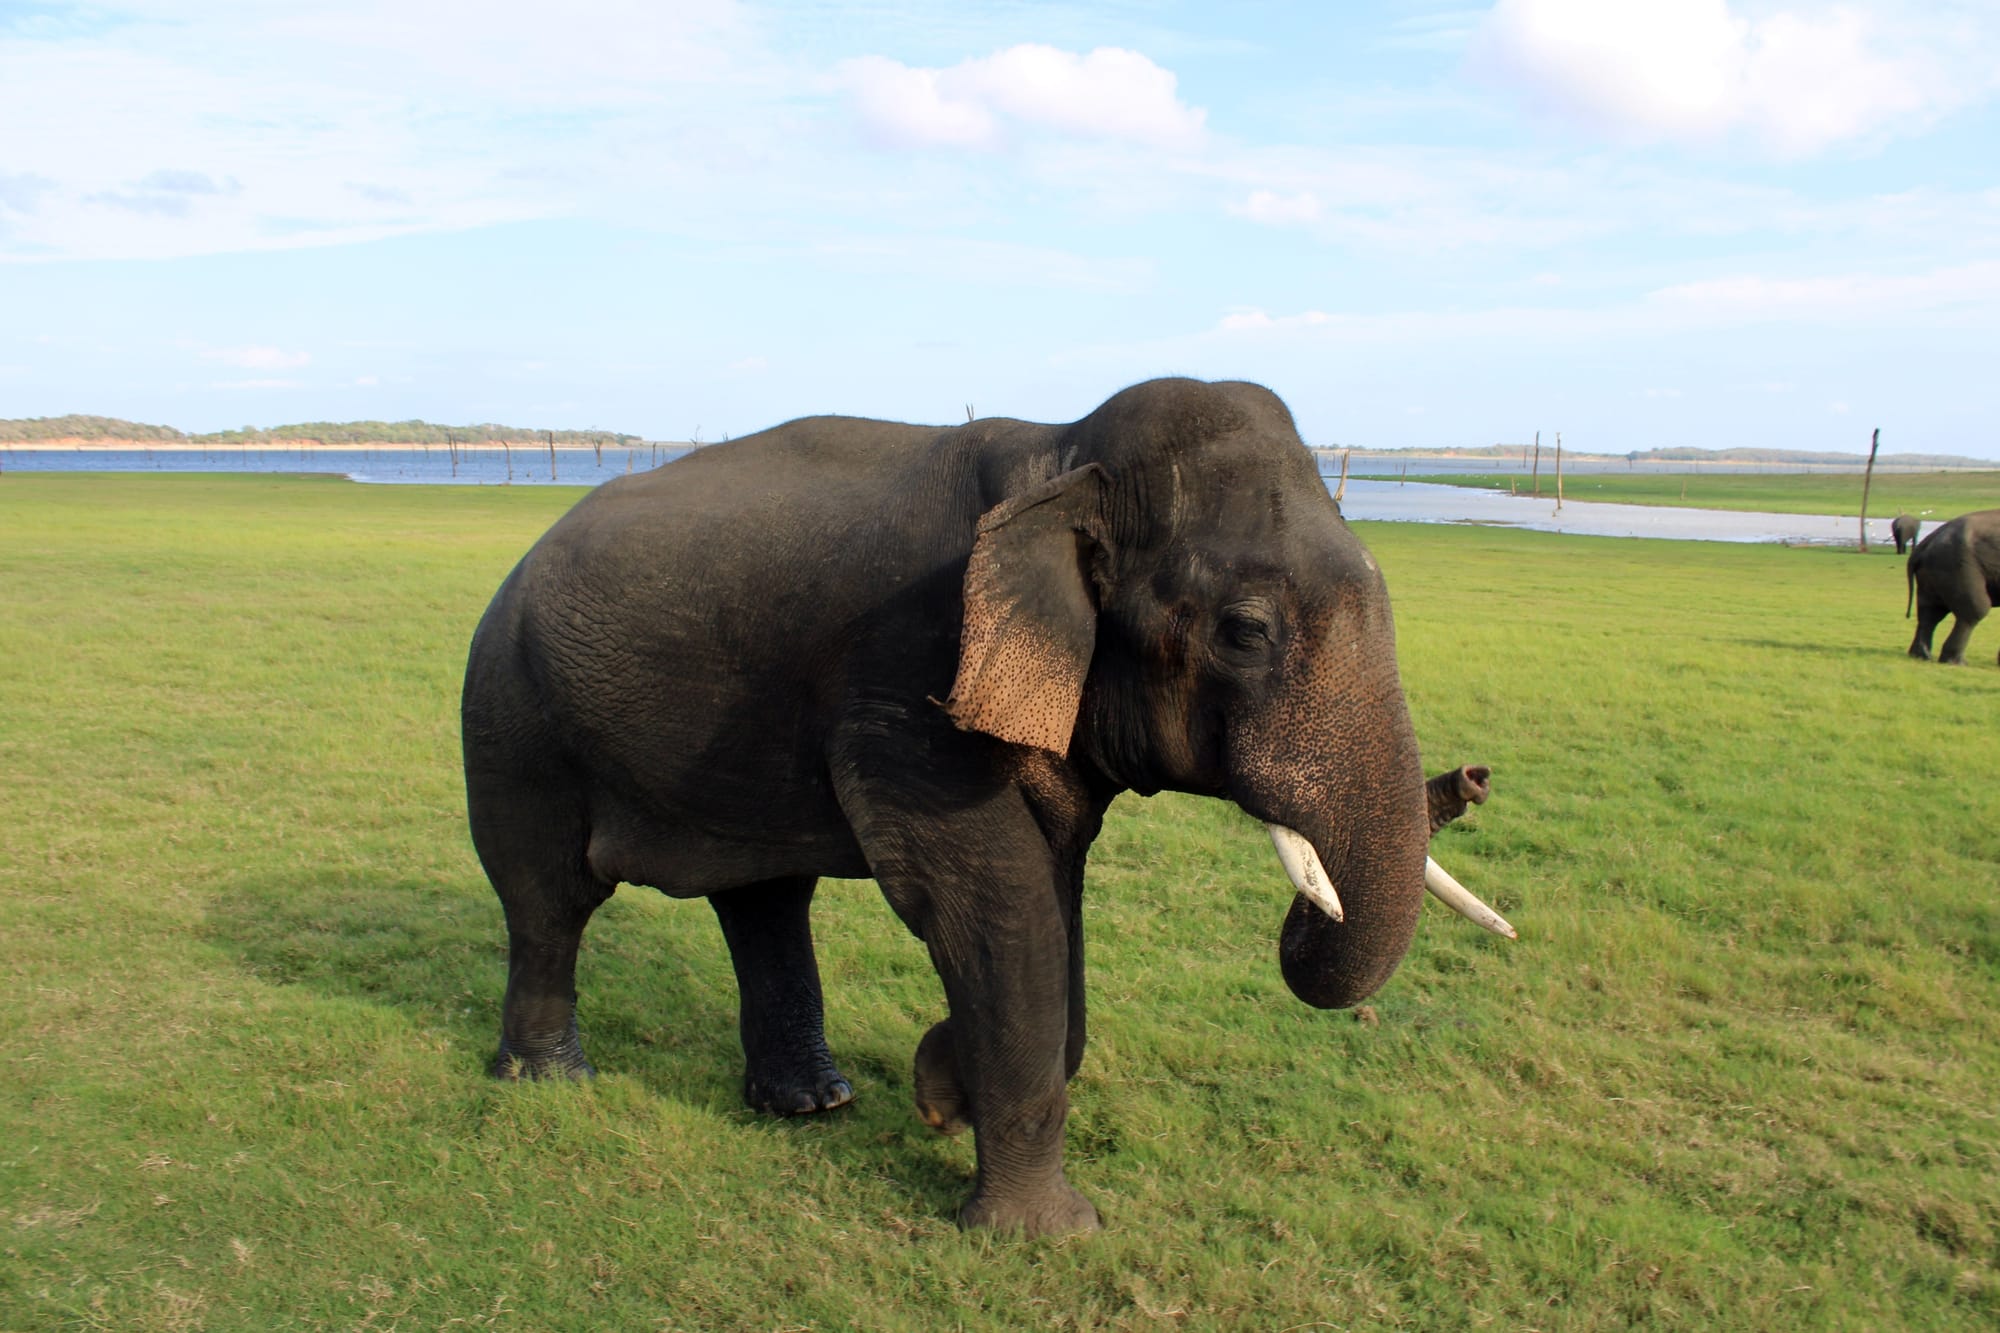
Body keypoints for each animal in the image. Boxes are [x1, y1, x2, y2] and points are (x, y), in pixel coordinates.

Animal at [460, 368, 1504, 1232]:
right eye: (1246, 632)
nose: (1478, 776)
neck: (1062, 453)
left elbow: (1054, 894)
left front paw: (939, 1085)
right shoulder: (915, 673)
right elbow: (995, 903)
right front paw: (1043, 1234)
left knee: (765, 898)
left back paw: (813, 1102)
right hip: (512, 713)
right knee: (549, 898)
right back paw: (548, 1081)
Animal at [1904, 504, 2000, 660]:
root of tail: (1925, 543)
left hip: (1934, 572)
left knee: (1931, 611)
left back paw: (1922, 656)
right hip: (1958, 566)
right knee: (1974, 611)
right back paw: (1954, 661)